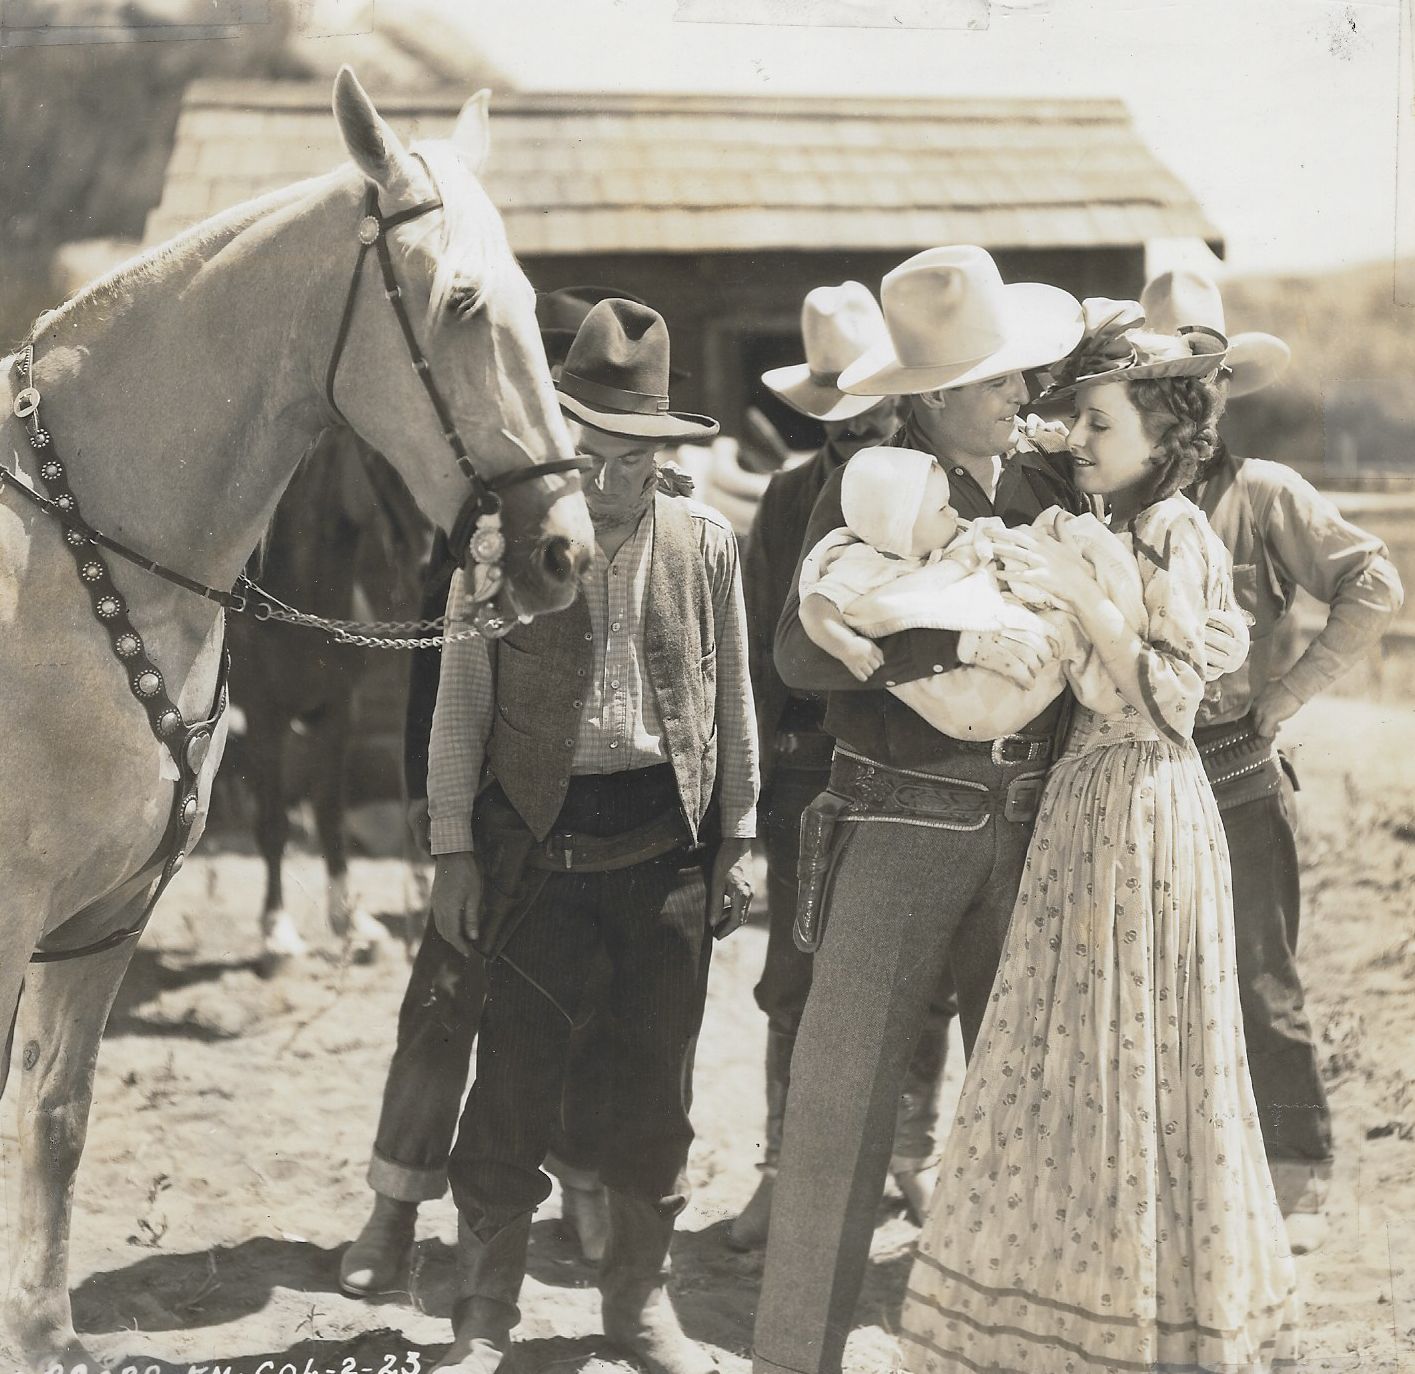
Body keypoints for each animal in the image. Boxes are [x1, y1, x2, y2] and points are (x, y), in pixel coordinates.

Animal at [229, 424, 427, 973]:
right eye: (379, 454)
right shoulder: (265, 716)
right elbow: (273, 823)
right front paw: (277, 932)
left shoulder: (337, 714)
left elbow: (331, 815)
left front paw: (352, 924)